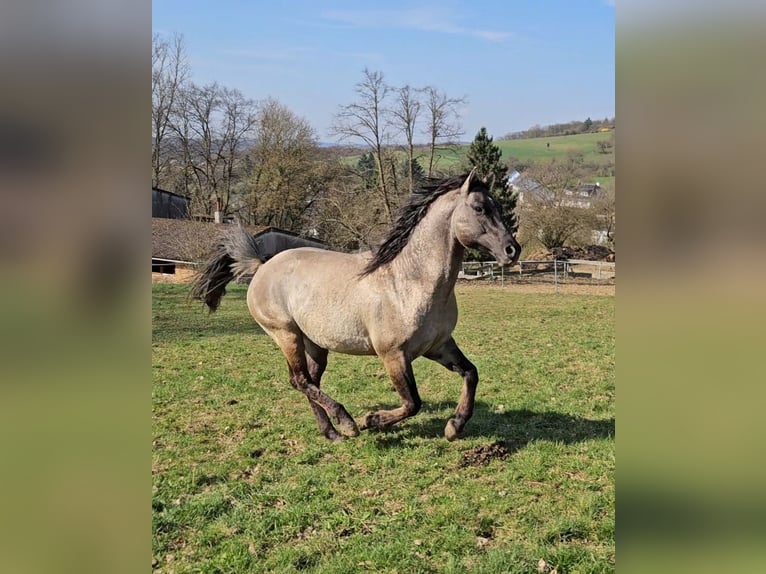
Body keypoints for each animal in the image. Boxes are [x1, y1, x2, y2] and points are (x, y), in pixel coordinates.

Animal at [190, 170, 520, 442]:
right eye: (480, 208)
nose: (512, 250)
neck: (410, 281)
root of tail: (262, 265)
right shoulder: (393, 355)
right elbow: (412, 403)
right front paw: (370, 421)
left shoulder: (438, 346)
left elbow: (471, 373)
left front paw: (454, 426)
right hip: (285, 334)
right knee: (300, 380)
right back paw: (346, 423)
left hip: (315, 344)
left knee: (309, 381)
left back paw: (332, 433)